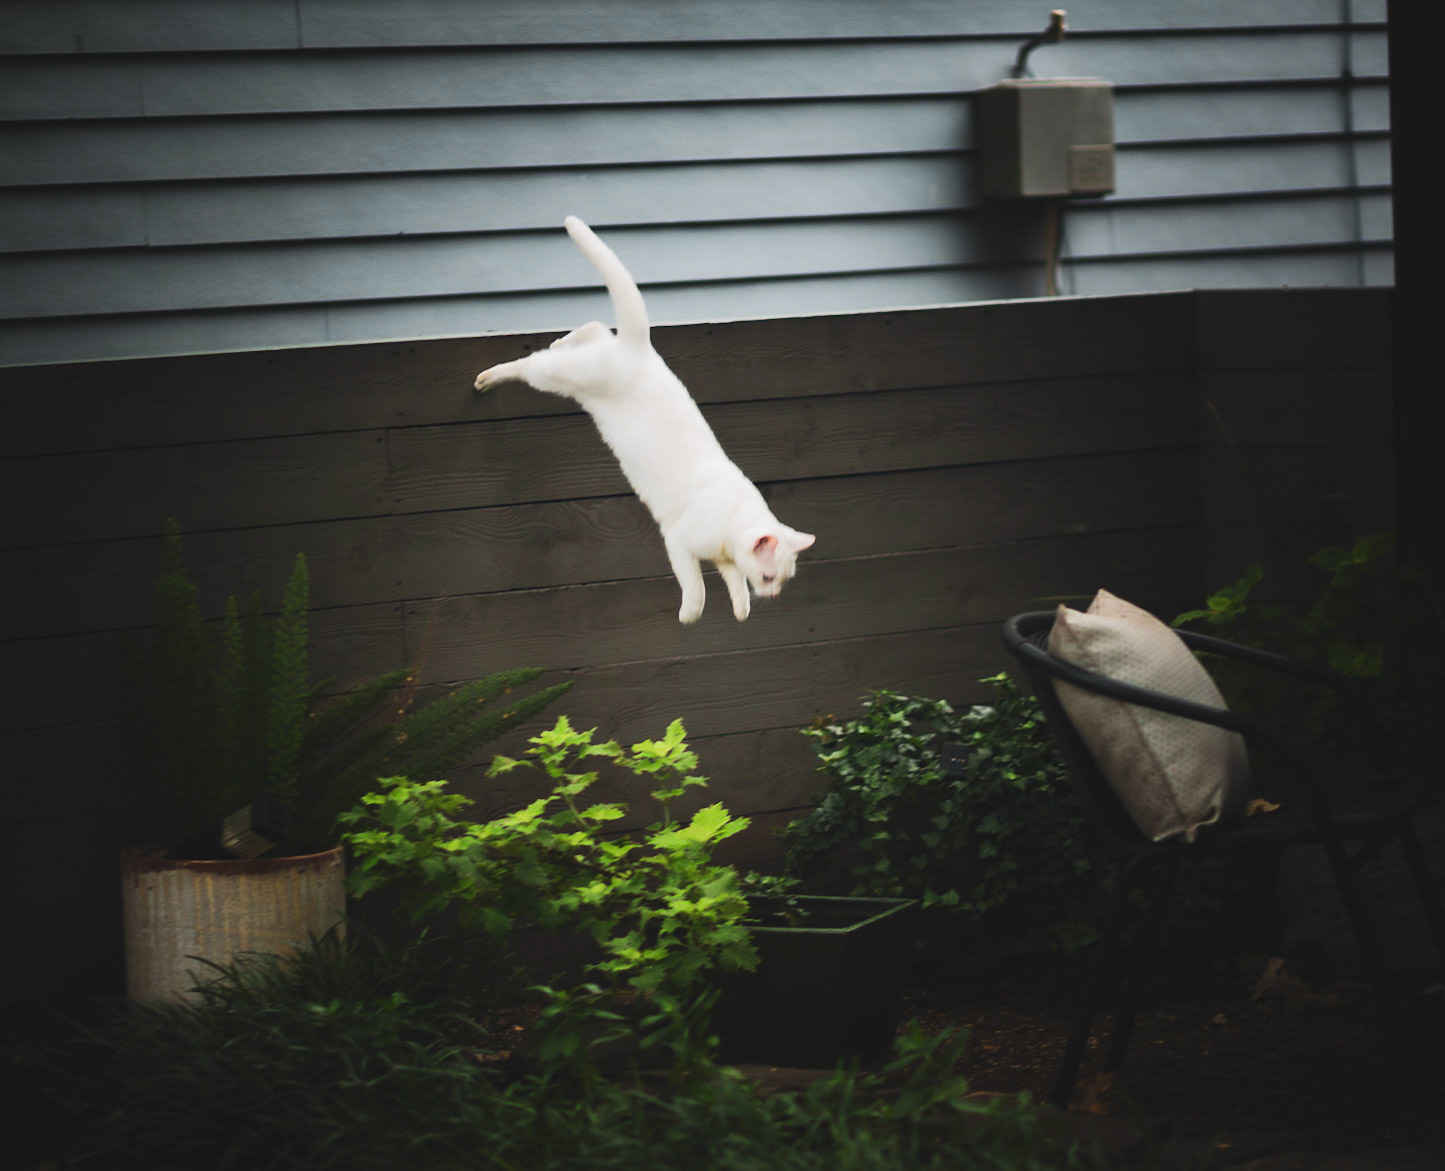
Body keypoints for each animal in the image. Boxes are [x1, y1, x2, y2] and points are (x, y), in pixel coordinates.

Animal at [474, 216, 815, 624]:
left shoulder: (724, 560)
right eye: (768, 577)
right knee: (531, 363)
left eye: (782, 580)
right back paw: (488, 377)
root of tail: (639, 349)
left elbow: (734, 585)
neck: (732, 523)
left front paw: (741, 610)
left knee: (595, 328)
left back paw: (562, 340)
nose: (773, 594)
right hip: (563, 376)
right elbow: (697, 589)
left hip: (585, 367)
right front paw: (689, 616)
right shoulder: (679, 542)